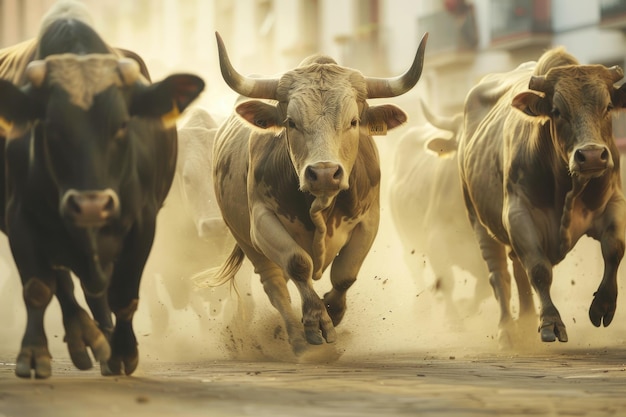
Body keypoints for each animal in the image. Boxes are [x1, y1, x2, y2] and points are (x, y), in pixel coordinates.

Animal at [456, 47, 624, 346]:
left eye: (606, 107)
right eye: (557, 111)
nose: (592, 155)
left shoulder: (614, 202)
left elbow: (614, 248)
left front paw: (603, 305)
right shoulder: (518, 215)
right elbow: (538, 269)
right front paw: (550, 322)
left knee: (517, 272)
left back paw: (525, 321)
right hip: (478, 221)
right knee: (500, 275)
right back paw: (508, 330)